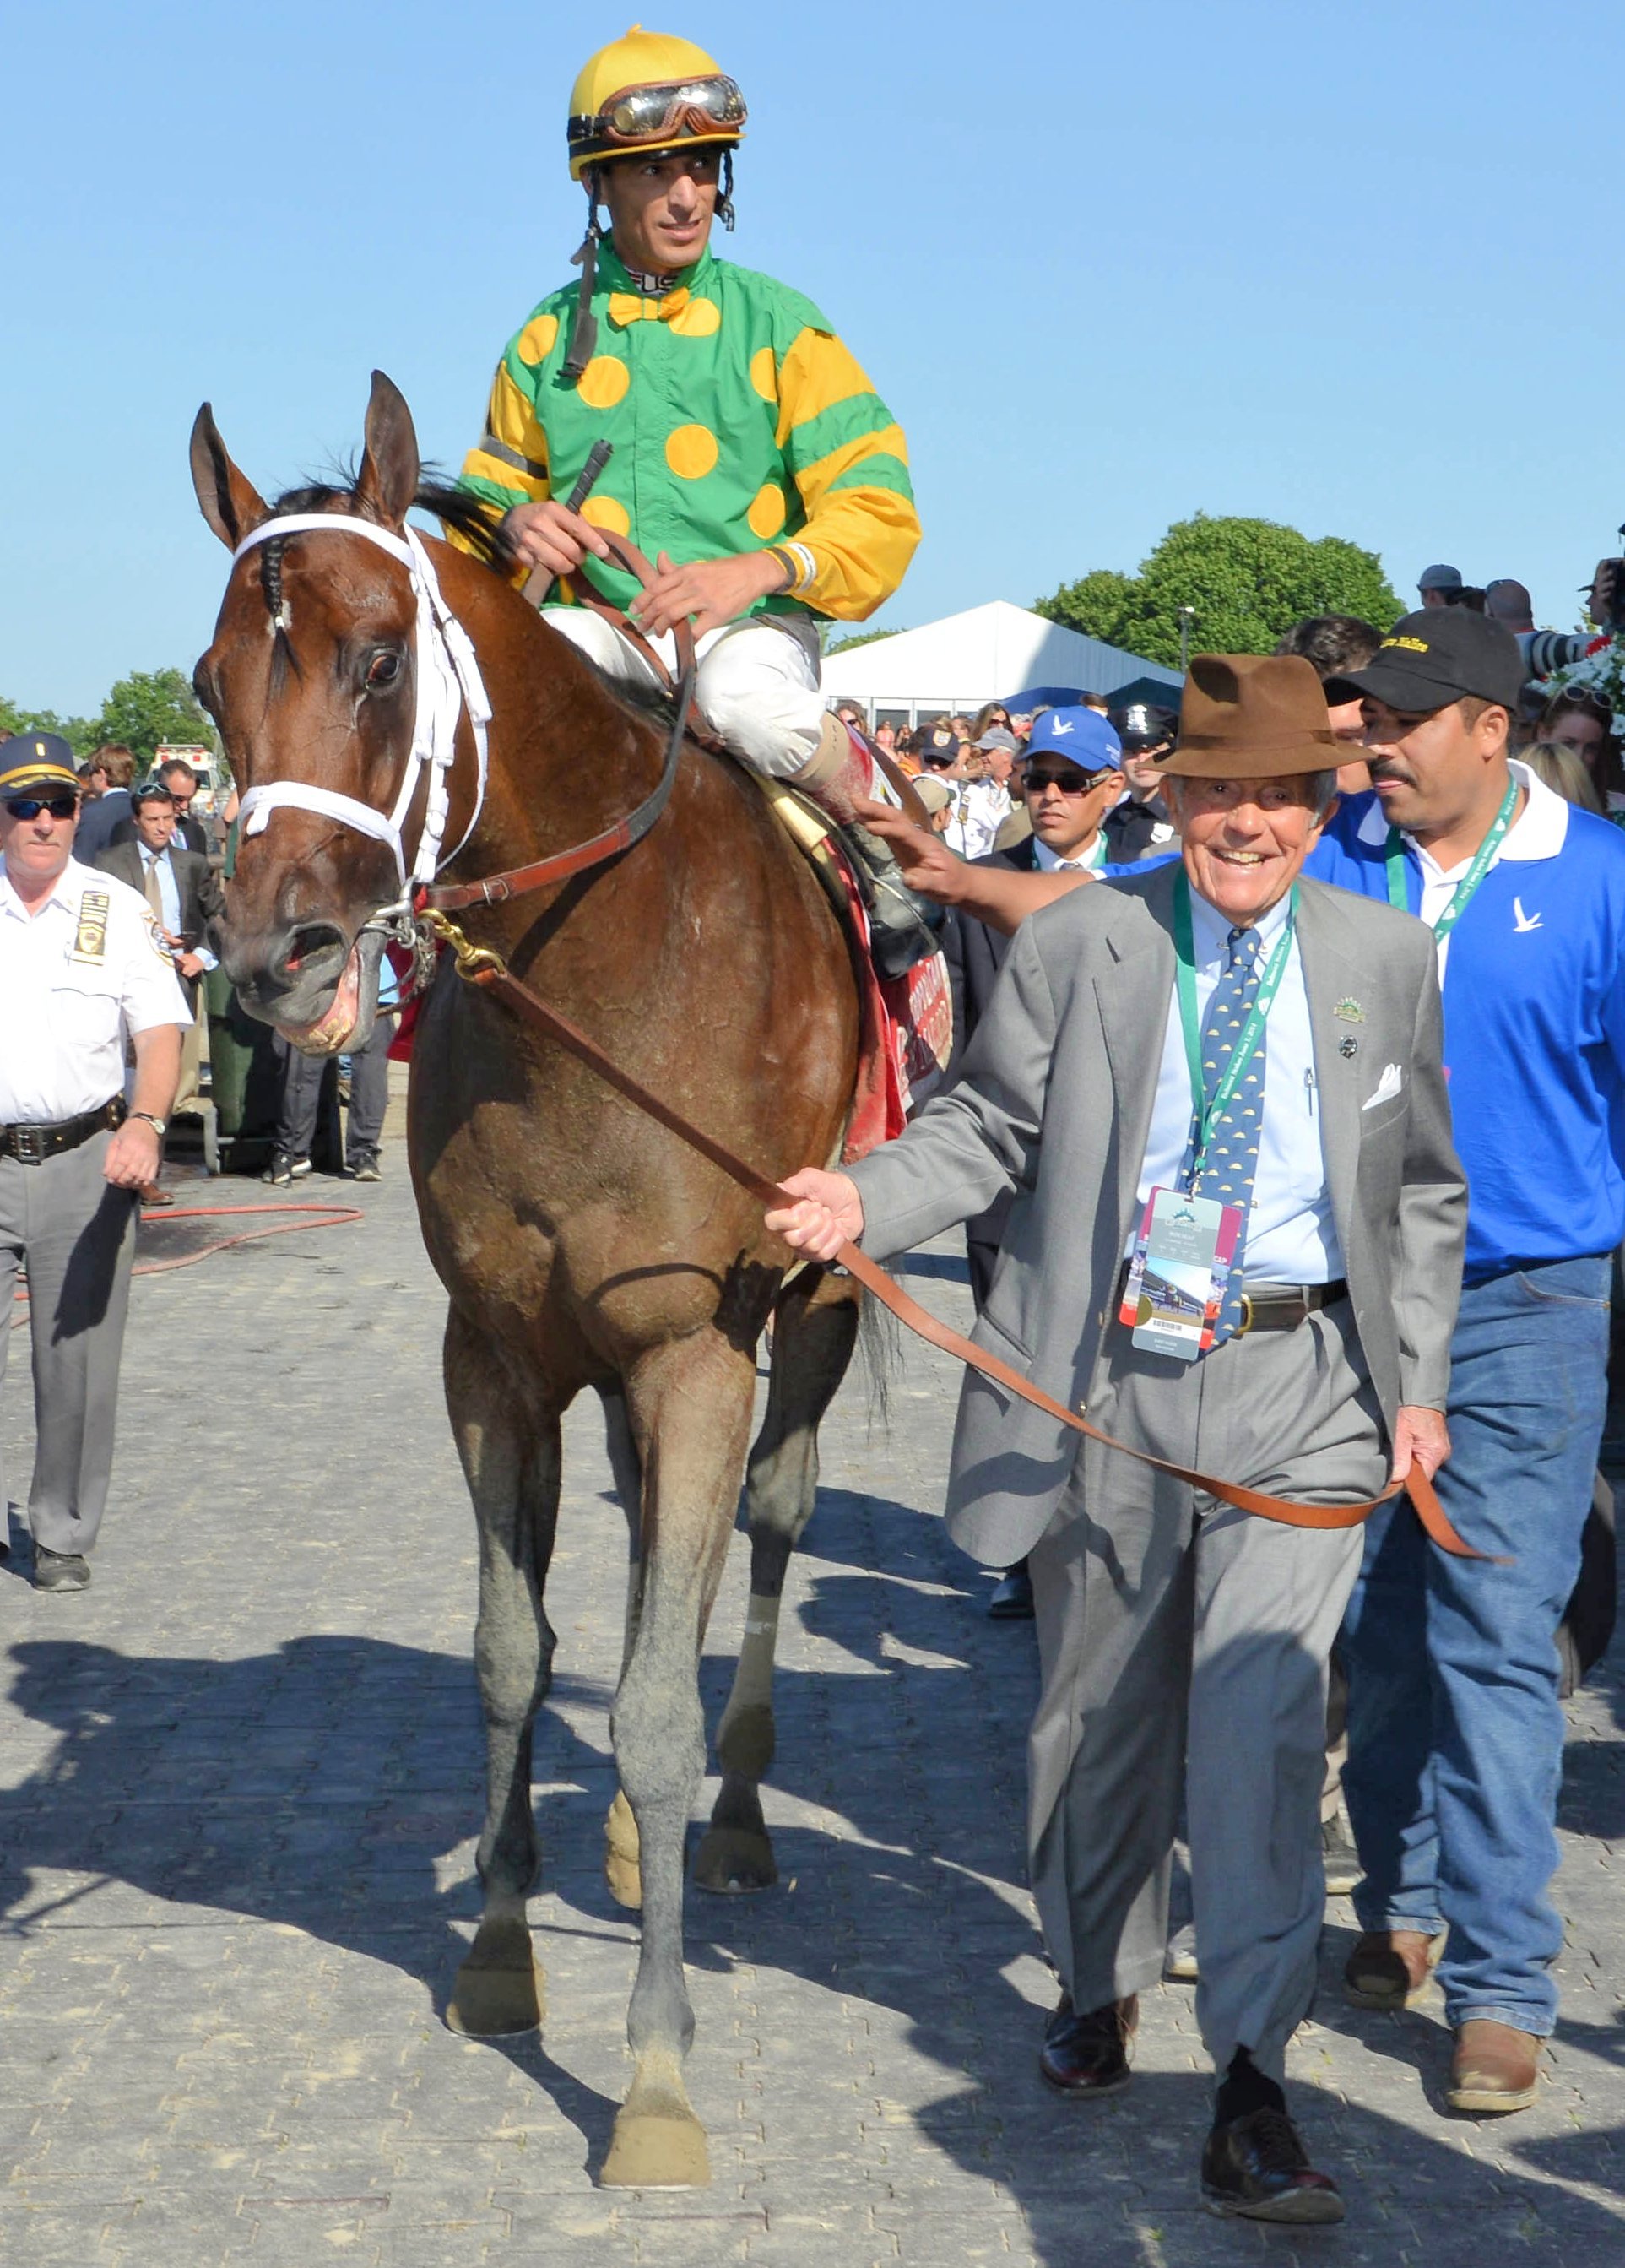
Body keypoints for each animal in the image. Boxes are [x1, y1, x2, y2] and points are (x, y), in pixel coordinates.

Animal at [187, 376, 869, 2195]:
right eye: (211, 682)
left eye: (378, 658)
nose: (273, 955)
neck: (598, 979)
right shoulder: (497, 1351)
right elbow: (514, 1650)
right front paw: (500, 1950)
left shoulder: (696, 1343)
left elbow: (650, 1704)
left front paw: (654, 2076)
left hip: (819, 1309)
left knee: (765, 1531)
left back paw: (735, 1815)